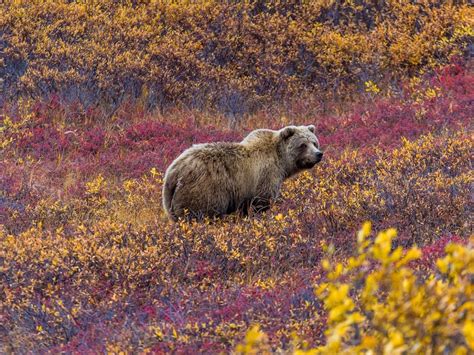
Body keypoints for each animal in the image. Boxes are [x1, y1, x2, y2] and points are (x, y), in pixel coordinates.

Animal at [162, 125, 322, 220]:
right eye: (303, 145)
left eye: (314, 142)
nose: (318, 154)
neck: (281, 161)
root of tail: (174, 171)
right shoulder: (265, 176)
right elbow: (260, 203)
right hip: (203, 191)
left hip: (170, 200)